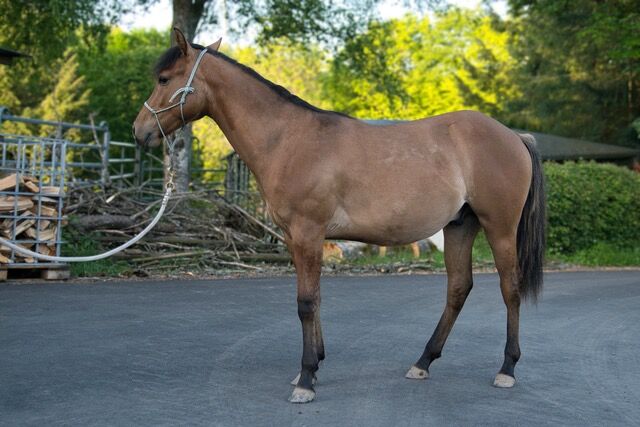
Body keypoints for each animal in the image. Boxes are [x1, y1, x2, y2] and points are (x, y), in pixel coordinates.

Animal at [133, 28, 546, 404]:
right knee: (458, 289)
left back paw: (507, 369)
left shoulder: (307, 233)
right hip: (459, 226)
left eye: (164, 79)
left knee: (509, 289)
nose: (140, 131)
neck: (288, 139)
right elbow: (315, 299)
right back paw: (423, 362)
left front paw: (305, 380)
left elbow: (305, 303)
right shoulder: (296, 237)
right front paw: (313, 366)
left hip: (499, 228)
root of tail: (514, 136)